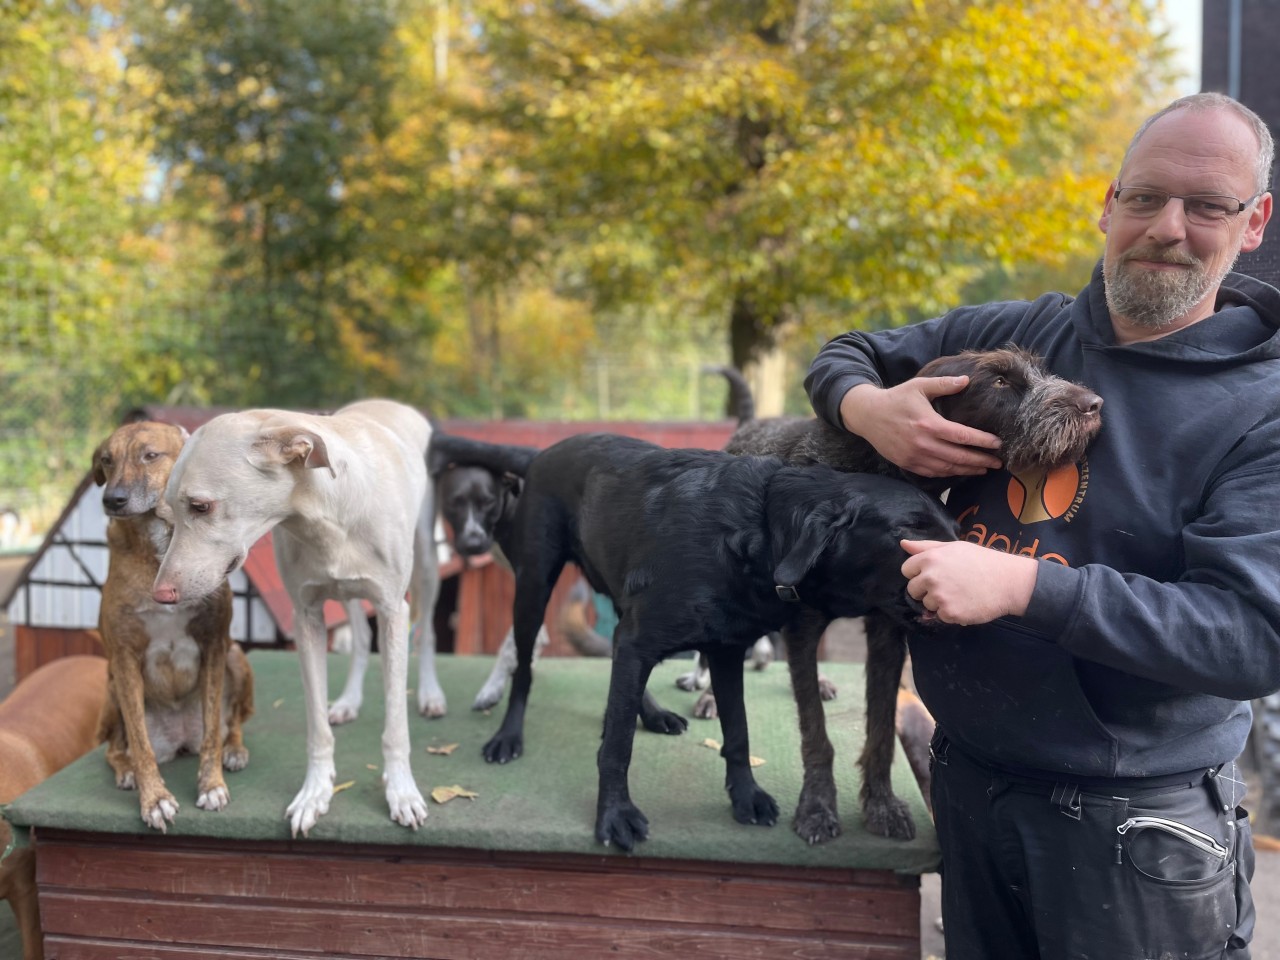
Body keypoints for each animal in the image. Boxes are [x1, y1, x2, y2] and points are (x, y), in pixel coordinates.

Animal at [92, 422, 252, 834]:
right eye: (106, 460)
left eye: (150, 455)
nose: (112, 500)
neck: (161, 546)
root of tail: (180, 741)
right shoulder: (124, 657)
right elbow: (139, 742)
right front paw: (155, 800)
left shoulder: (214, 645)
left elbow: (212, 732)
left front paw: (211, 785)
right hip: (111, 684)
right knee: (115, 748)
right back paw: (127, 771)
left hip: (236, 657)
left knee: (232, 723)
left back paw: (234, 750)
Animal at [152, 399, 435, 834]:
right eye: (166, 516)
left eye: (201, 506)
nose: (160, 594)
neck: (330, 513)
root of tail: (388, 404)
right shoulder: (308, 618)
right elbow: (317, 726)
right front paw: (315, 793)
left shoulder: (392, 610)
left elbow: (396, 728)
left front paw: (401, 792)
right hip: (345, 594)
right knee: (360, 636)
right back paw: (349, 701)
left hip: (426, 565)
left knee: (427, 631)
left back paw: (430, 694)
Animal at [711, 350, 1100, 844]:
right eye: (999, 381)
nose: (1092, 405)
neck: (875, 473)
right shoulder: (803, 624)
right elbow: (815, 732)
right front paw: (817, 806)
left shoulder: (886, 633)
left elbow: (880, 728)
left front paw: (879, 802)